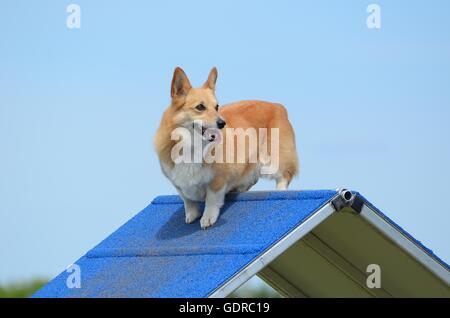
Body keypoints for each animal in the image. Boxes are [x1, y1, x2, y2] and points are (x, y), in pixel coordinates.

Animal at [155, 67, 298, 227]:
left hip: (273, 159)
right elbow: (187, 200)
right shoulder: (178, 183)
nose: (222, 123)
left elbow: (211, 200)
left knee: (284, 176)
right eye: (200, 107)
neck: (192, 146)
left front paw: (207, 218)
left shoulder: (217, 180)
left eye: (217, 107)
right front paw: (191, 215)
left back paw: (280, 191)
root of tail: (278, 106)